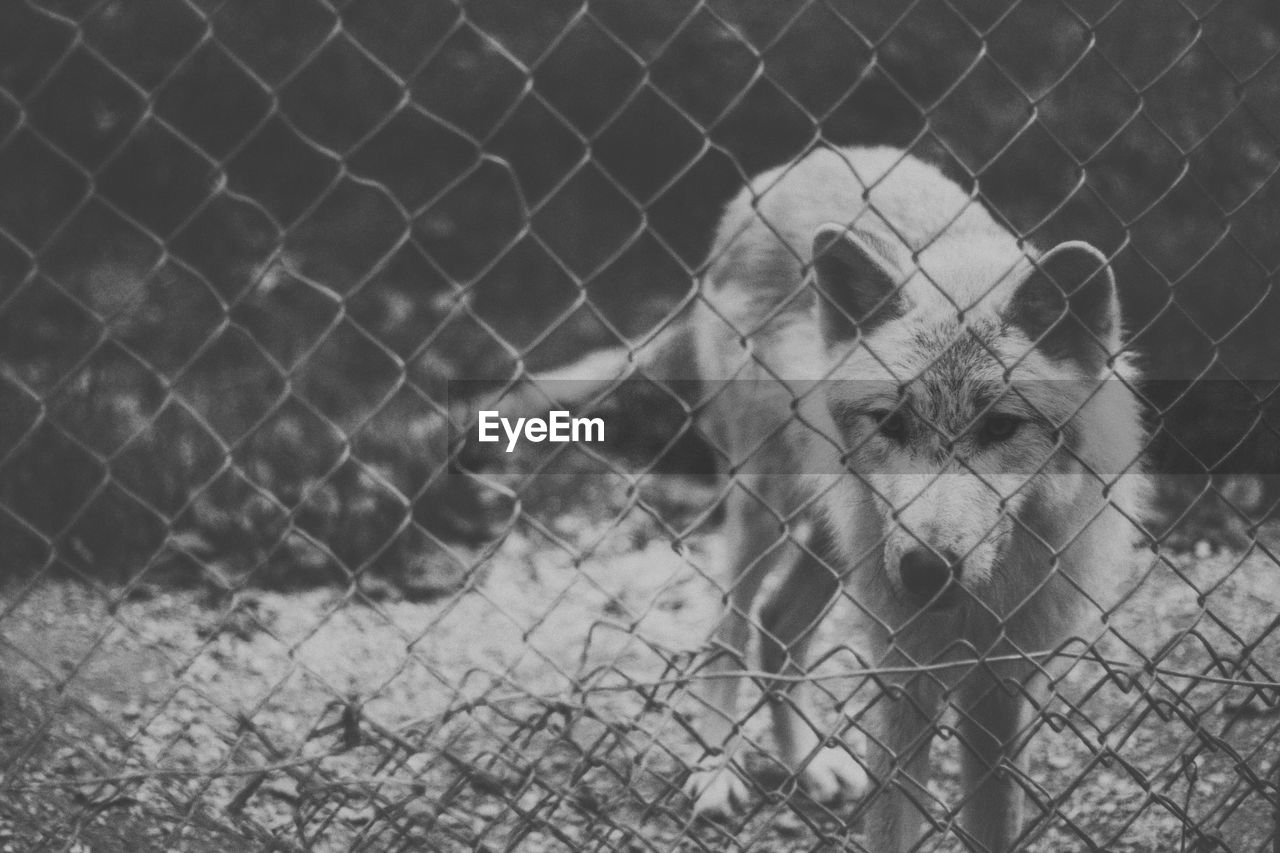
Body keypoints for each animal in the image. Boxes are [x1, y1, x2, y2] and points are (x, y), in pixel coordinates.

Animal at [686, 147, 1146, 850]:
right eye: (893, 423)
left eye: (1000, 428)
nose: (927, 569)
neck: (975, 610)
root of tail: (791, 167)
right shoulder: (902, 685)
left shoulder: (1000, 695)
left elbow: (994, 827)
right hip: (765, 505)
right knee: (728, 628)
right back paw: (716, 772)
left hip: (838, 542)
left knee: (776, 625)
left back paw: (810, 765)